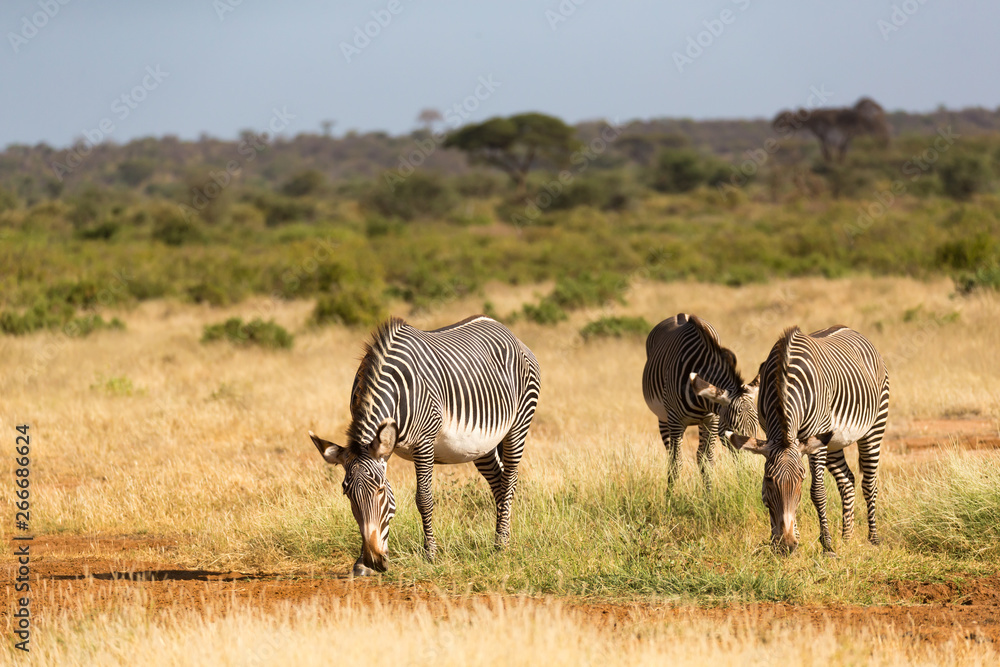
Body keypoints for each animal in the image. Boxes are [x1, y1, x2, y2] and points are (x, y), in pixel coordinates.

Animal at [309, 315, 541, 576]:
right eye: (346, 493)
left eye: (380, 490)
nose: (373, 560)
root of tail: (507, 331)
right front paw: (360, 563)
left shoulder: (424, 443)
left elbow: (424, 499)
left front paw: (430, 554)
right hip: (482, 443)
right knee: (499, 483)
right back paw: (502, 539)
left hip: (518, 425)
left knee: (509, 480)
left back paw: (500, 545)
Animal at [641, 313, 761, 488]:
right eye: (732, 429)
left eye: (757, 429)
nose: (752, 476)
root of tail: (680, 315)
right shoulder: (675, 421)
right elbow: (676, 463)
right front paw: (670, 497)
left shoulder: (712, 420)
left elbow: (707, 461)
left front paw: (709, 495)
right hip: (663, 417)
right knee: (670, 455)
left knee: (699, 455)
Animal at [742, 325, 889, 555]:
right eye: (769, 479)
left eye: (801, 480)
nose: (786, 545)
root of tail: (852, 330)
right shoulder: (775, 437)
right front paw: (787, 539)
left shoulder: (814, 436)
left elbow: (818, 492)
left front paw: (826, 544)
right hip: (832, 440)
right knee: (847, 480)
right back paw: (847, 537)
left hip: (874, 426)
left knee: (869, 484)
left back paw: (873, 538)